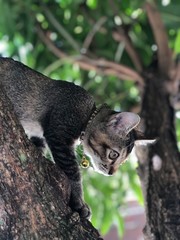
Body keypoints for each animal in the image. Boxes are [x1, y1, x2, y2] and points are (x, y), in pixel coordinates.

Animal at [0, 57, 151, 219]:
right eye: (113, 155)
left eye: (122, 161)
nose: (111, 173)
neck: (87, 114)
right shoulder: (59, 135)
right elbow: (73, 172)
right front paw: (79, 202)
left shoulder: (39, 136)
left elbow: (36, 148)